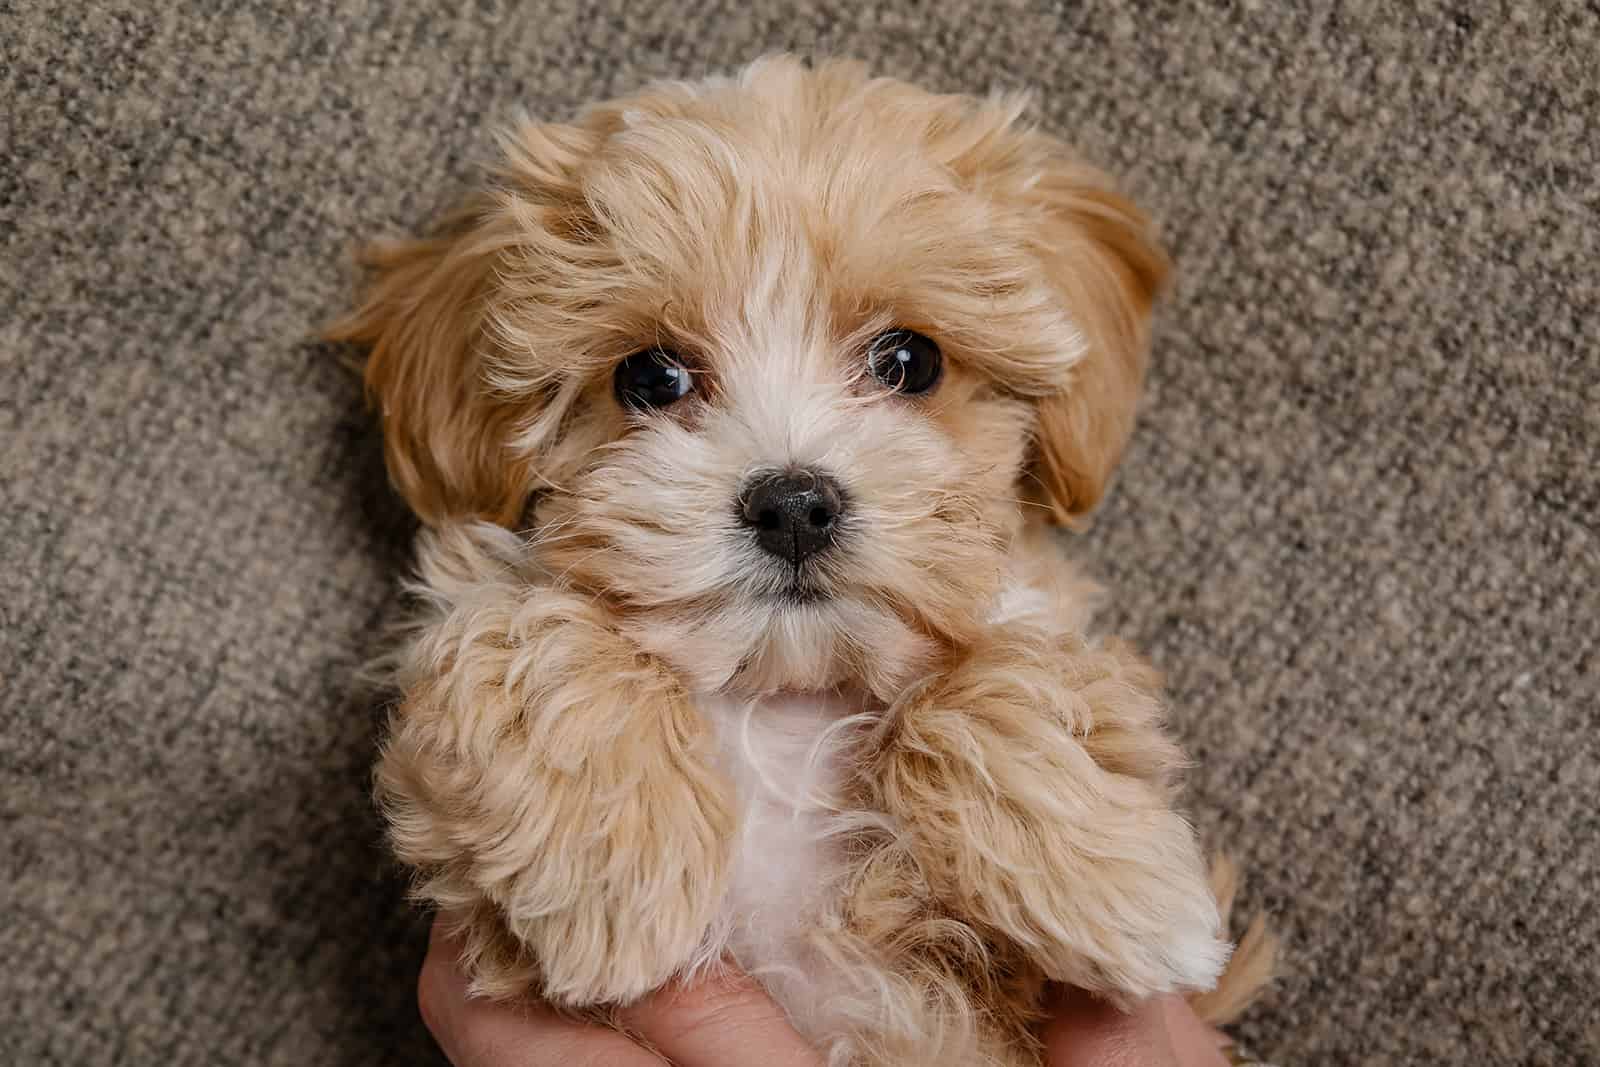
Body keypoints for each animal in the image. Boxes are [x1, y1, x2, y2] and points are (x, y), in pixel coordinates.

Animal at [334, 58, 1273, 1067]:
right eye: (650, 378)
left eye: (908, 361)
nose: (791, 505)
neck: (783, 696)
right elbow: (531, 631)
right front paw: (615, 875)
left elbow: (993, 680)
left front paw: (1119, 878)